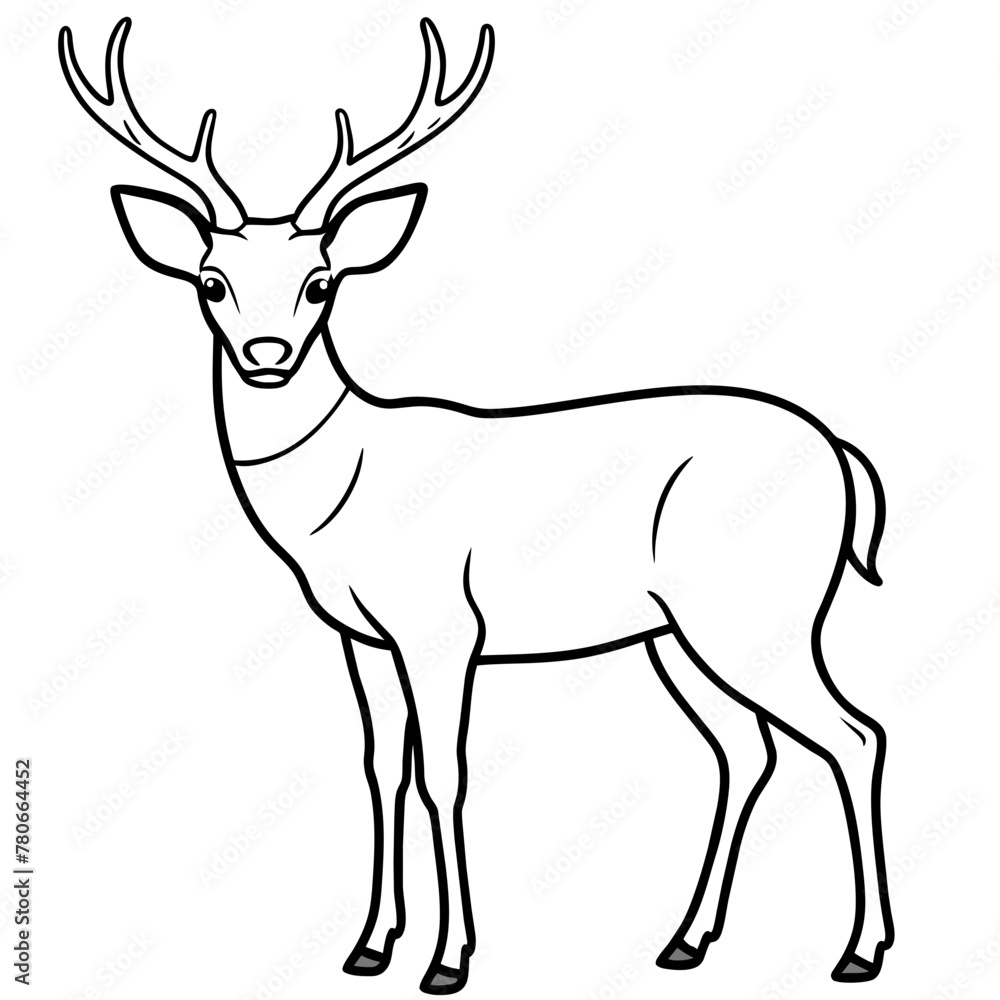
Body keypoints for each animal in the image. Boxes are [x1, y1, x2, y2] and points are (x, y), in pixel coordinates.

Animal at [60, 16, 894, 994]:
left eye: (321, 281)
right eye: (211, 281)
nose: (268, 354)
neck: (341, 491)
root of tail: (843, 456)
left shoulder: (443, 624)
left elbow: (444, 776)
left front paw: (448, 960)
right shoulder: (361, 636)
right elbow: (382, 768)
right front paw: (368, 945)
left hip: (762, 608)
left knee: (854, 735)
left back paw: (859, 950)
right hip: (679, 630)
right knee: (746, 746)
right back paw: (687, 939)